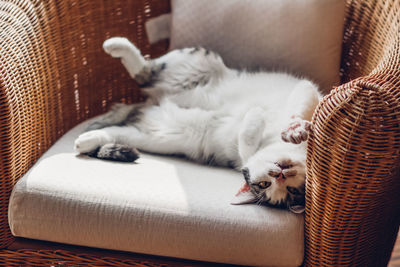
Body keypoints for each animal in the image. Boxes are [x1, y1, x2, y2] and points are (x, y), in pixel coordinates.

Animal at [72, 37, 322, 214]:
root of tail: (152, 102)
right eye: (264, 184)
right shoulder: (307, 89)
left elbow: (246, 146)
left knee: (118, 129)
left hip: (157, 136)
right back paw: (114, 44)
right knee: (146, 70)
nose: (280, 174)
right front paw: (294, 128)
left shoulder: (238, 159)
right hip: (196, 63)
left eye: (288, 189)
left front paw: (255, 118)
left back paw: (85, 141)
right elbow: (300, 104)